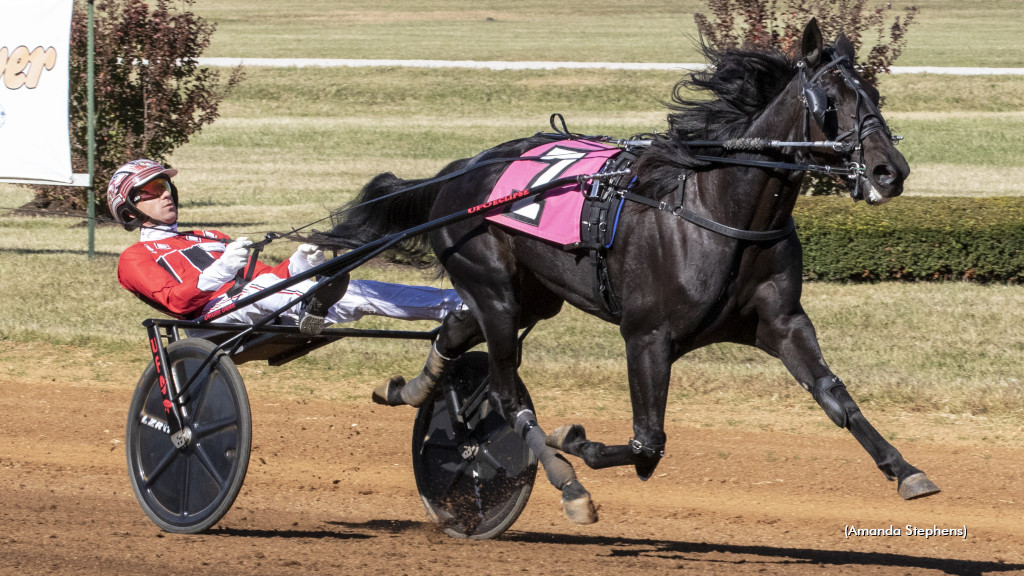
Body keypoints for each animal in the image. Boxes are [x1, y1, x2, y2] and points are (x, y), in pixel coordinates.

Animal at [317, 19, 937, 520]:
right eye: (829, 100)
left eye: (873, 92)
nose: (890, 171)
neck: (718, 211)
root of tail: (456, 172)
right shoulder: (646, 336)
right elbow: (647, 444)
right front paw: (574, 442)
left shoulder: (782, 323)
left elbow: (836, 396)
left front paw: (907, 470)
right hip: (493, 290)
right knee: (507, 397)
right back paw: (566, 485)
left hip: (529, 295)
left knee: (453, 335)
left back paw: (411, 389)